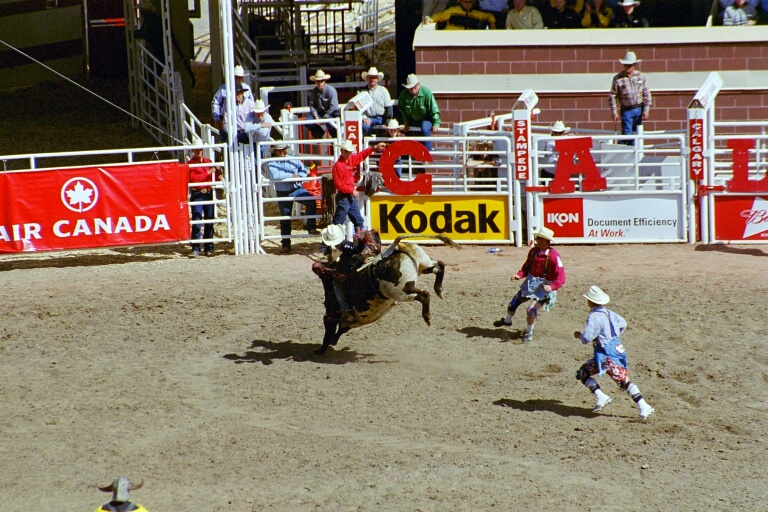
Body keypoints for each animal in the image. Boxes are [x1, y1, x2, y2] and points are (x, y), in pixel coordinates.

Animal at [314, 234, 460, 355]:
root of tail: (394, 248)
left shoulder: (330, 315)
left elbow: (329, 332)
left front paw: (321, 350)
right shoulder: (352, 320)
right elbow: (341, 329)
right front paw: (333, 341)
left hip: (402, 290)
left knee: (424, 294)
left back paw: (427, 316)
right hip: (423, 265)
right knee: (439, 265)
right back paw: (439, 290)